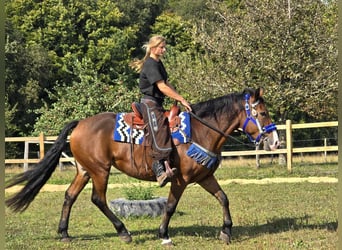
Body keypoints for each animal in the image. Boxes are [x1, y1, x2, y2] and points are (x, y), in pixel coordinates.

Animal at [4, 87, 278, 245]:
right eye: (263, 113)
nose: (275, 141)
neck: (200, 131)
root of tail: (80, 123)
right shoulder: (179, 180)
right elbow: (170, 206)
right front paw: (163, 234)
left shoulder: (203, 176)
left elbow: (223, 198)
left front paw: (226, 231)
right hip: (100, 171)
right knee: (98, 199)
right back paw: (124, 232)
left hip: (84, 170)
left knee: (69, 196)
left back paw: (64, 233)